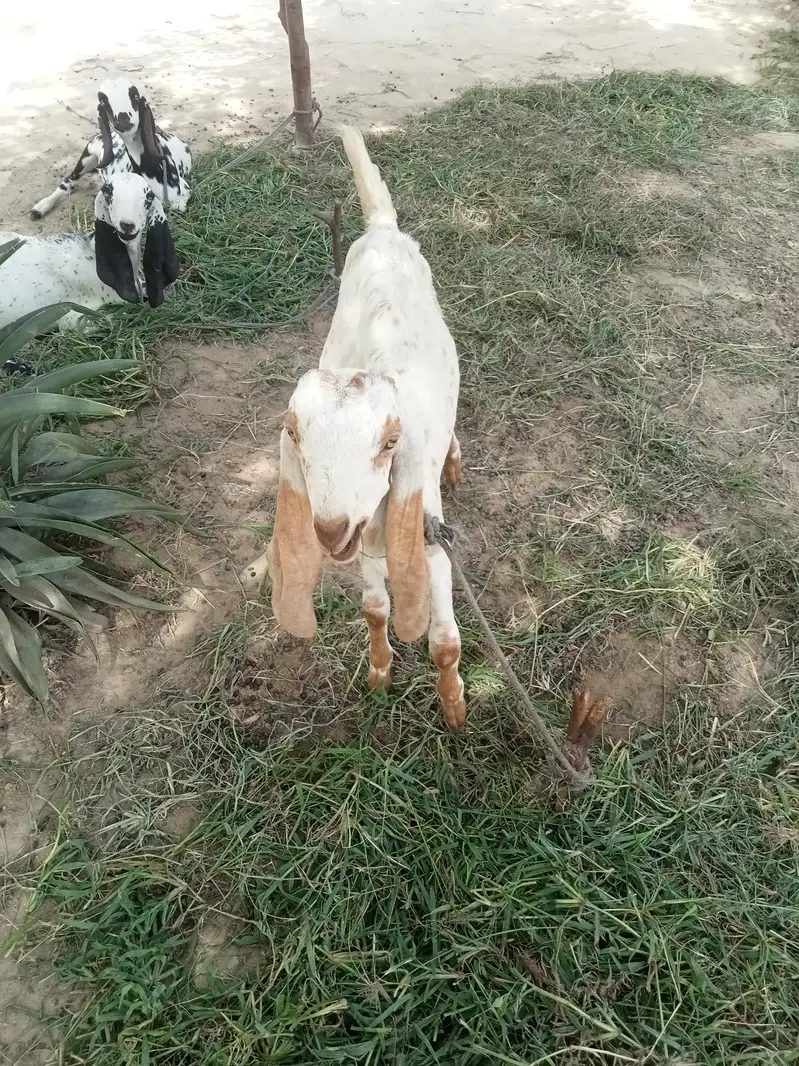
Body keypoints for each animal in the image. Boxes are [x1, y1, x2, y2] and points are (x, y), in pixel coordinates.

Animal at [31, 79, 192, 221]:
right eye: (103, 102)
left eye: (135, 96)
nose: (123, 120)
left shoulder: (184, 194)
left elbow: (177, 207)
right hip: (87, 157)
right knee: (69, 180)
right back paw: (41, 207)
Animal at [267, 126, 466, 730]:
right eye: (294, 433)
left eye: (390, 443)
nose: (330, 530)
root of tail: (380, 229)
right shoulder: (367, 553)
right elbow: (376, 608)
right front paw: (380, 673)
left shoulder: (430, 543)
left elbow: (444, 642)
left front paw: (455, 708)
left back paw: (454, 458)